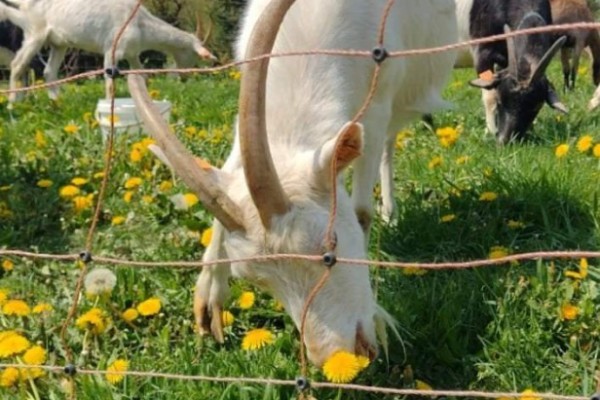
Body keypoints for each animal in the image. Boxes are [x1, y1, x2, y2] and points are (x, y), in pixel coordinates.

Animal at [127, 0, 454, 368]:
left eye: (331, 247)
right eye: (257, 280)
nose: (336, 357)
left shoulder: (378, 102)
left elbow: (361, 210)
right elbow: (227, 174)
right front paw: (208, 301)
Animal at [454, 0, 568, 144]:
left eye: (536, 107)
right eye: (500, 100)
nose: (506, 141)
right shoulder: (482, 52)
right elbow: (489, 96)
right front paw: (490, 132)